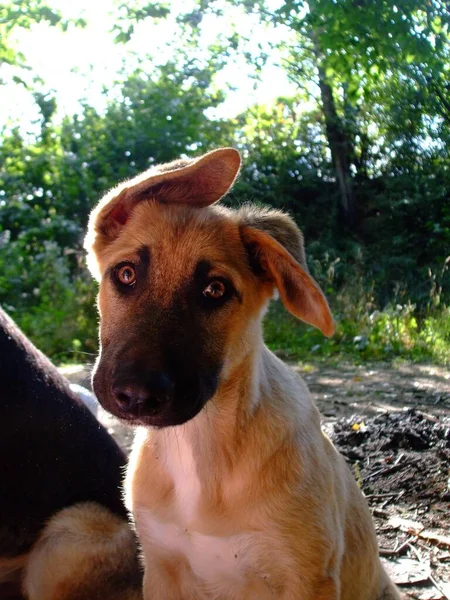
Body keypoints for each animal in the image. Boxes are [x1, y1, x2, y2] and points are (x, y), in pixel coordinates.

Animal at [85, 146, 400, 600]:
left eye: (214, 290)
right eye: (125, 274)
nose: (136, 395)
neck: (200, 447)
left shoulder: (308, 579)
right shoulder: (161, 569)